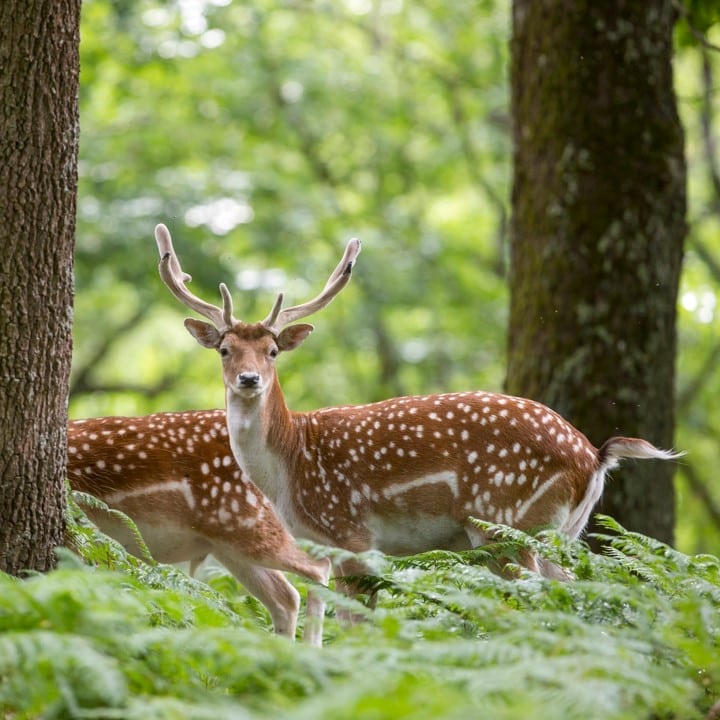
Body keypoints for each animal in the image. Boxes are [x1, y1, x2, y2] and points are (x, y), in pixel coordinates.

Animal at [155, 225, 684, 592]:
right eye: (225, 350)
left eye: (272, 351)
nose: (249, 380)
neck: (289, 470)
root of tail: (594, 455)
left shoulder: (350, 532)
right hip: (561, 533)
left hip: (508, 522)